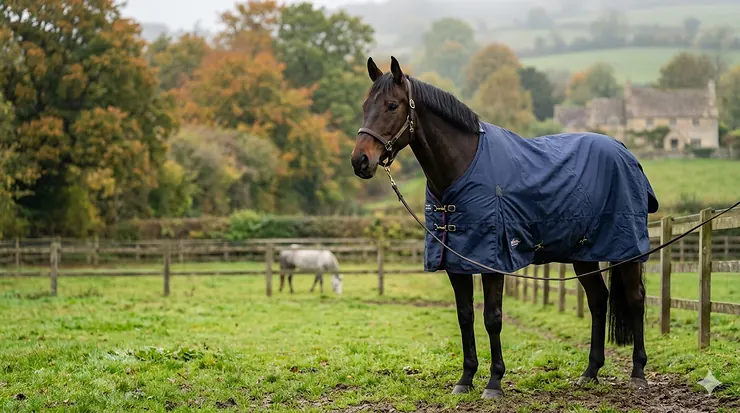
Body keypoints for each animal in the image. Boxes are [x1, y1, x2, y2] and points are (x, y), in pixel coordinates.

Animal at [350, 56, 659, 399]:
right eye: (365, 105)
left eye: (392, 105)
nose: (360, 160)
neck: (463, 167)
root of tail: (624, 150)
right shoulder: (455, 262)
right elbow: (465, 316)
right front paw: (465, 379)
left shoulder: (492, 261)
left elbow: (492, 318)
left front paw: (494, 382)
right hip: (583, 254)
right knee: (597, 300)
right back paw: (590, 372)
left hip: (626, 250)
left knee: (635, 299)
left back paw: (638, 373)